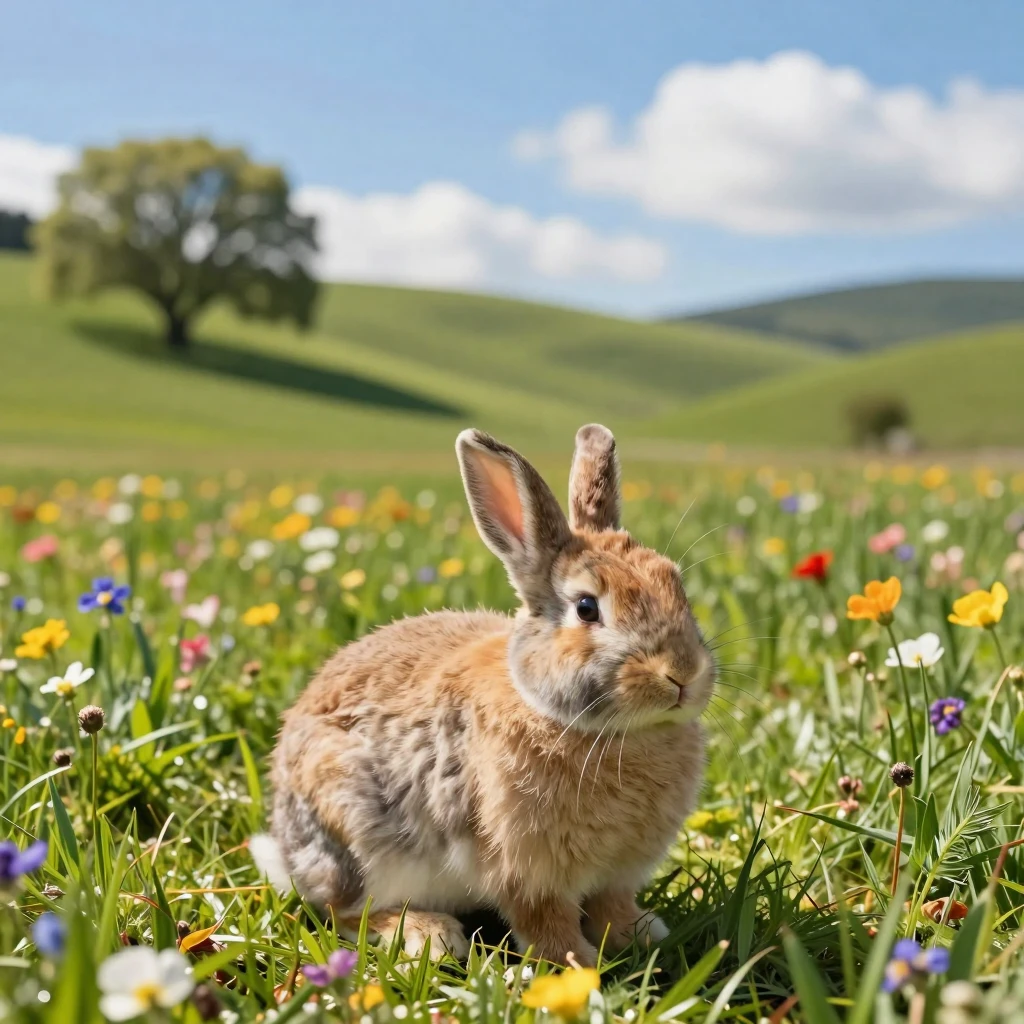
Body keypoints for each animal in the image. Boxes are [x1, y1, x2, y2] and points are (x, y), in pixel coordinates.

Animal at [261, 424, 714, 965]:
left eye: (676, 583)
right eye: (586, 608)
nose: (683, 673)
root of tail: (286, 850)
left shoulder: (617, 875)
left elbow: (613, 905)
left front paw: (640, 933)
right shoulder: (524, 868)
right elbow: (544, 920)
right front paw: (576, 963)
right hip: (354, 838)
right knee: (346, 911)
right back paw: (431, 935)